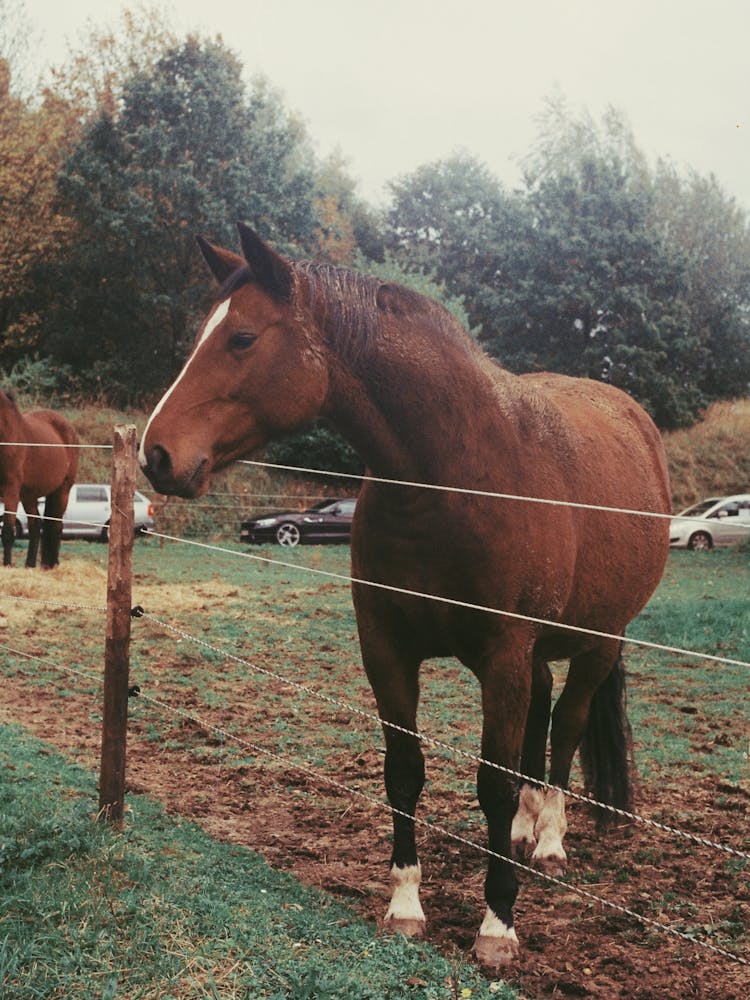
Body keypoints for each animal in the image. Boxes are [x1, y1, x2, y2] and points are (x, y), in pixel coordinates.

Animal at [0, 386, 79, 568]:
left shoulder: (10, 492)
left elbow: (7, 532)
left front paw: (6, 566)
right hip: (29, 496)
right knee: (35, 526)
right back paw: (30, 565)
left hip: (62, 491)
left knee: (56, 526)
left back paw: (53, 565)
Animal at [138, 227, 672, 968]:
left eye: (241, 338)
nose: (155, 455)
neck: (452, 478)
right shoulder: (387, 648)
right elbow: (405, 772)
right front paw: (406, 905)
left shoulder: (503, 653)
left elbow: (492, 780)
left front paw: (497, 924)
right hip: (535, 656)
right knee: (540, 721)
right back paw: (524, 831)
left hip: (599, 640)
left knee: (564, 727)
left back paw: (550, 840)